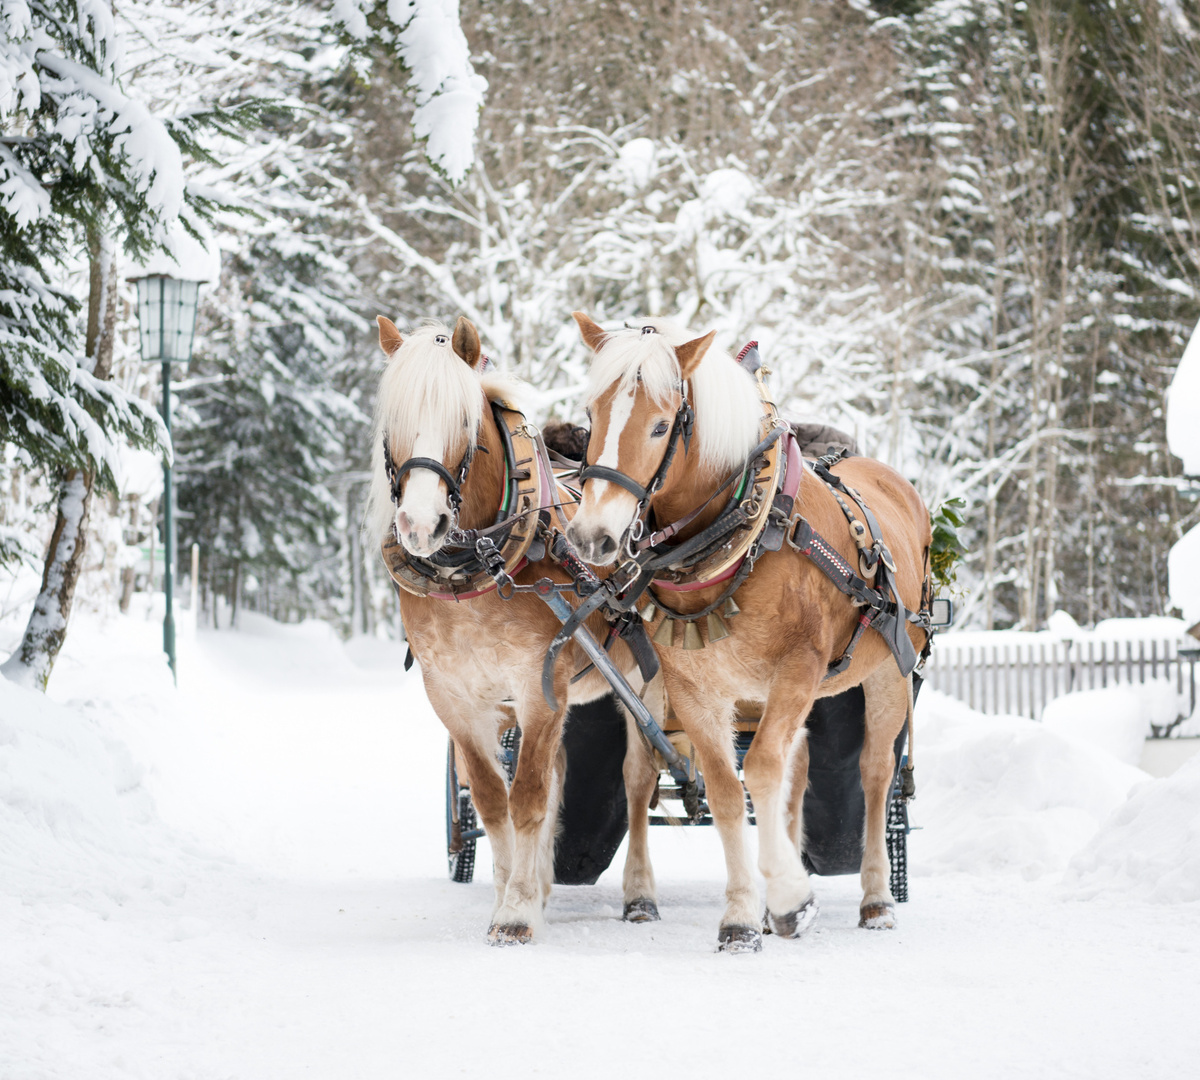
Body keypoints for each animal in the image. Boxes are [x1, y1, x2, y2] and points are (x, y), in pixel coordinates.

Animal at [366, 315, 662, 943]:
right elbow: (491, 800)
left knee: (638, 780)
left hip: (644, 686)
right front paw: (512, 891)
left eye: (463, 423)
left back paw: (640, 893)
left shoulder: (537, 686)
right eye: (391, 425)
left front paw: (518, 911)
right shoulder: (455, 697)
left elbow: (527, 798)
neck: (476, 568)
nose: (419, 525)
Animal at [565, 312, 932, 952]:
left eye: (660, 425)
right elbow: (727, 790)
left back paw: (877, 899)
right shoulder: (697, 689)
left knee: (874, 775)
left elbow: (760, 770)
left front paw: (789, 895)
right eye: (591, 415)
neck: (748, 534)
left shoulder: (799, 670)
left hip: (889, 671)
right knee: (792, 773)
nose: (592, 538)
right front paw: (742, 915)